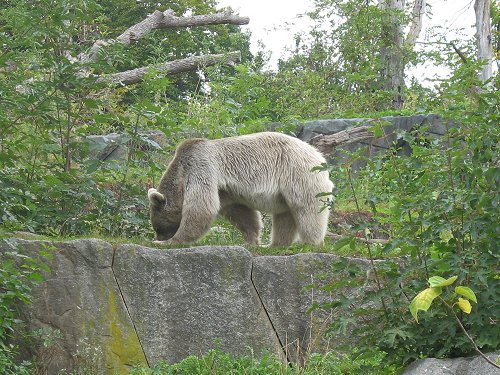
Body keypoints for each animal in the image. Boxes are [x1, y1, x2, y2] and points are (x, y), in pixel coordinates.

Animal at [147, 132, 332, 247]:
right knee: (284, 215)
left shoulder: (201, 167)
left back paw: (311, 243)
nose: (159, 237)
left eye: (158, 227)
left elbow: (202, 207)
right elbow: (241, 213)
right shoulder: (225, 190)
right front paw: (251, 241)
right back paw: (274, 245)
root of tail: (319, 155)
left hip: (299, 173)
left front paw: (170, 242)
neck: (181, 172)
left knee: (307, 210)